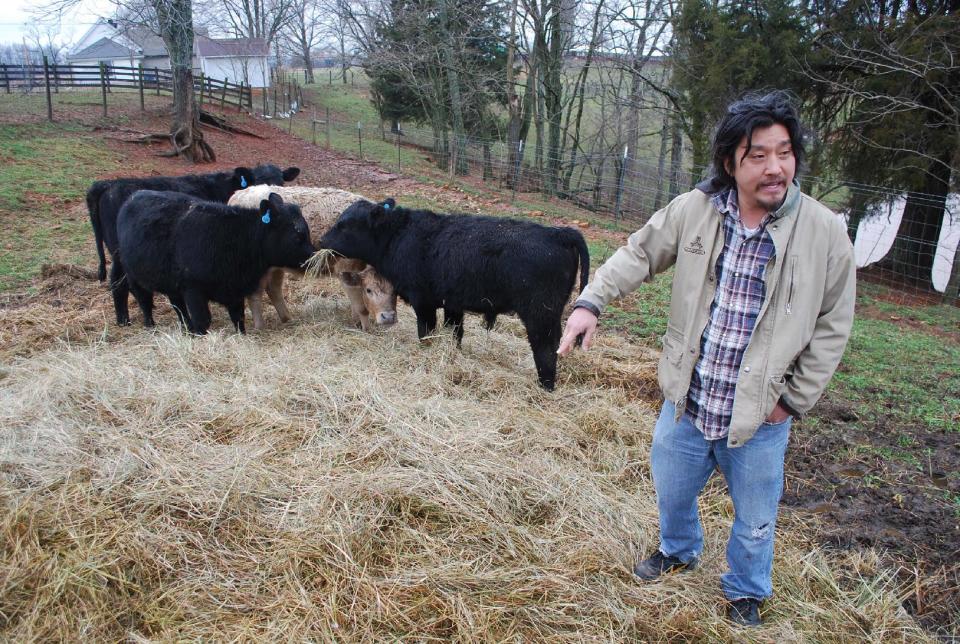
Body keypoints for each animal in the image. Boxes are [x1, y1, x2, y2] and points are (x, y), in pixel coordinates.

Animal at [89, 165, 304, 324]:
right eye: (257, 179)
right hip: (122, 253)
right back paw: (126, 320)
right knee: (120, 281)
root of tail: (106, 184)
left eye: (282, 180)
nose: (274, 193)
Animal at [117, 190, 316, 334]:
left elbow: (238, 318)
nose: (313, 258)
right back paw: (151, 326)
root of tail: (135, 196)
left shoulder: (235, 291)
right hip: (134, 277)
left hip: (172, 284)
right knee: (144, 300)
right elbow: (203, 320)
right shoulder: (193, 289)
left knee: (178, 307)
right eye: (298, 235)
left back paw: (186, 328)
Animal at [322, 197, 588, 388]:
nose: (322, 240)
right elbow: (455, 333)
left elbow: (426, 333)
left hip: (540, 314)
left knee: (546, 350)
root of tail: (559, 233)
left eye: (344, 225)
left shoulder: (423, 302)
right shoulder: (452, 303)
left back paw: (545, 387)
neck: (399, 236)